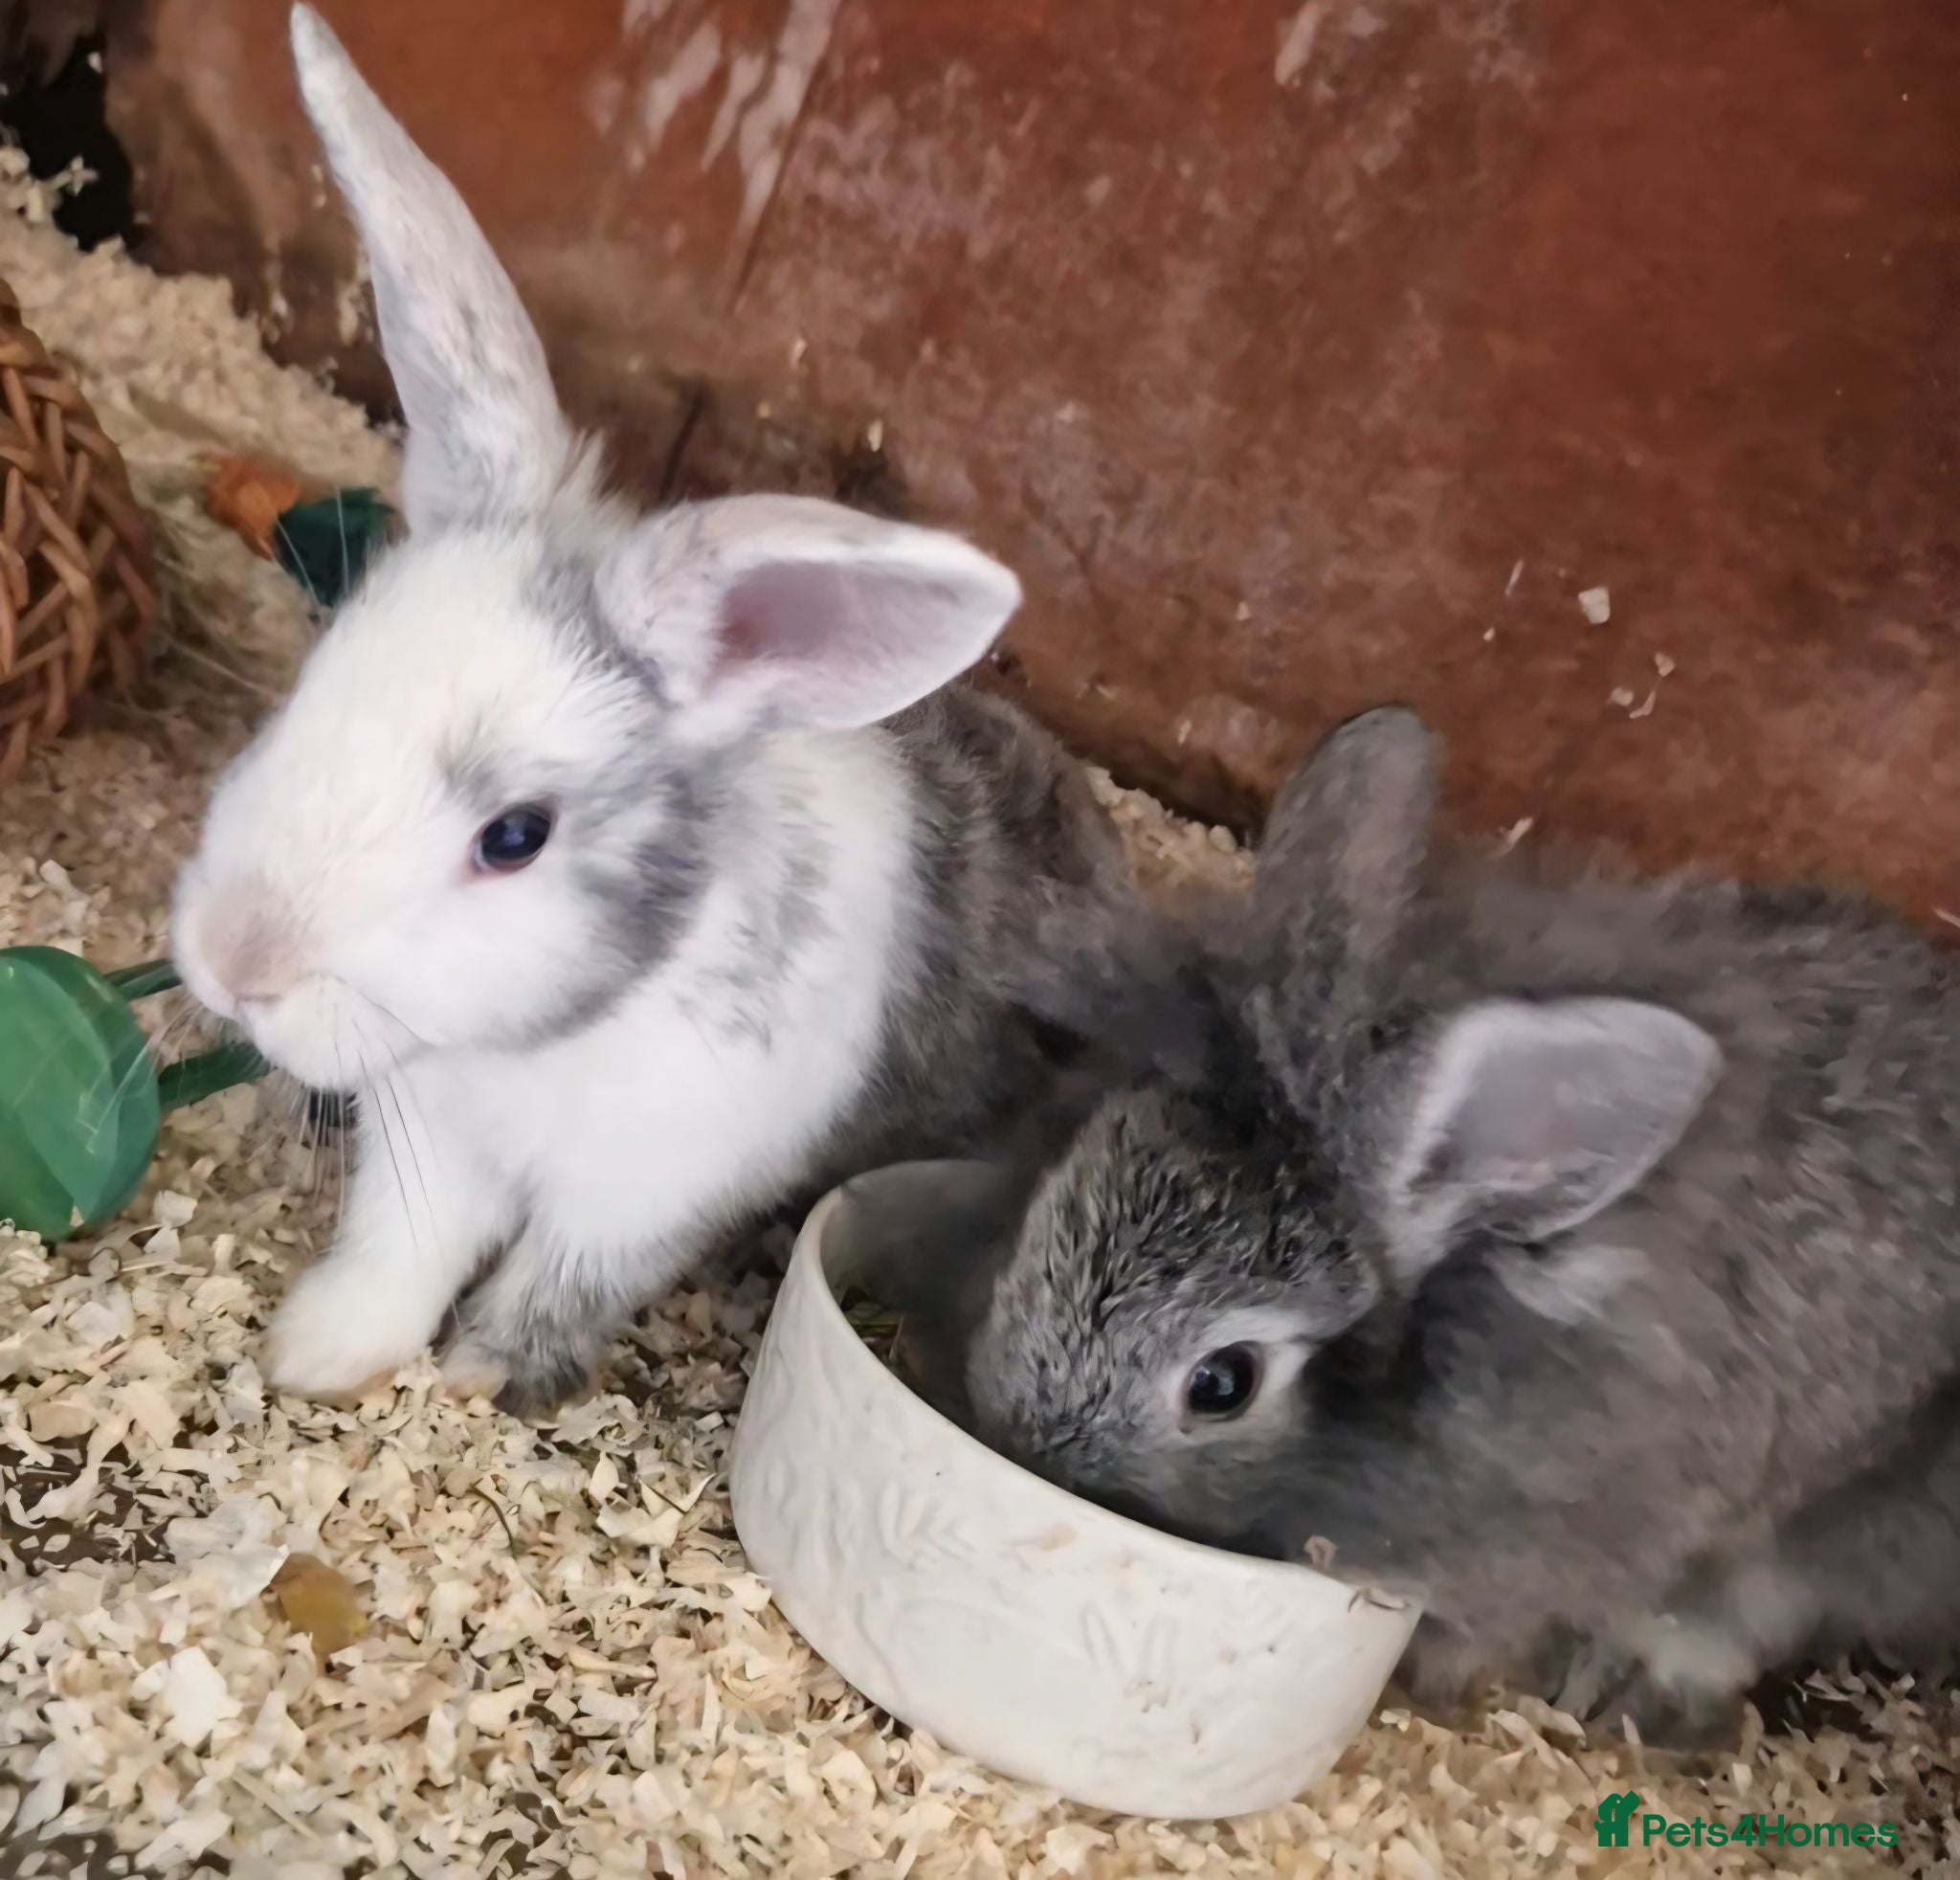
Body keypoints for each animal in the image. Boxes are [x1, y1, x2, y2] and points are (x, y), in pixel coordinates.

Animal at [168, 7, 1141, 1418]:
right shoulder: (434, 1136)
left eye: (515, 836)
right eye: (316, 678)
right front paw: (322, 1354)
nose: (235, 966)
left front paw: (475, 1384)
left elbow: (547, 1294)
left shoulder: (641, 1198)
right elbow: (398, 1252)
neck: (556, 1032)